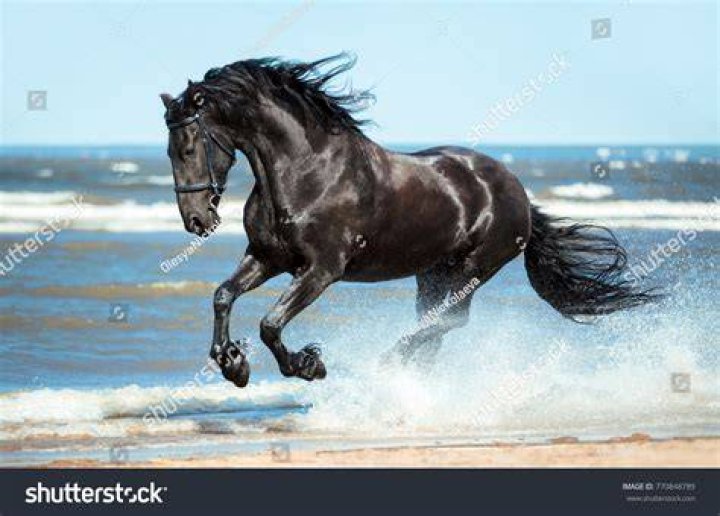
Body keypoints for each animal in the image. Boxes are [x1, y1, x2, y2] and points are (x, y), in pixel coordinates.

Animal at [160, 54, 656, 388]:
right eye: (168, 150)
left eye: (188, 146)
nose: (197, 220)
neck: (305, 170)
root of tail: (518, 193)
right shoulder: (266, 258)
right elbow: (223, 296)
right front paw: (233, 364)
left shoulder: (321, 270)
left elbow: (270, 324)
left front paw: (308, 365)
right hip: (431, 272)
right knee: (436, 327)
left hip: (472, 270)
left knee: (445, 322)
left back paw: (388, 365)